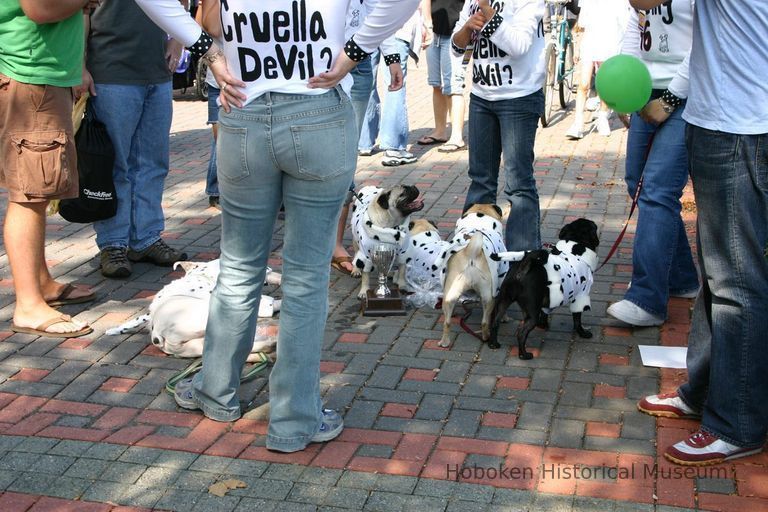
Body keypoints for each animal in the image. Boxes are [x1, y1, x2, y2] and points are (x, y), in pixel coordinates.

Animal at [432, 204, 510, 348]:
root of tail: (471, 252)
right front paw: (505, 318)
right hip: (488, 296)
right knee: (485, 322)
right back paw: (486, 337)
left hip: (450, 293)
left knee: (447, 321)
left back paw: (444, 342)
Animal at [488, 218, 604, 358]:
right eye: (595, 227)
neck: (575, 247)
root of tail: (523, 267)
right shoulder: (581, 296)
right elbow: (577, 319)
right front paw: (582, 332)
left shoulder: (550, 299)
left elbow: (545, 314)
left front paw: (543, 325)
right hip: (532, 312)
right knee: (521, 333)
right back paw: (524, 354)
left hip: (504, 301)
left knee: (495, 323)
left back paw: (494, 344)